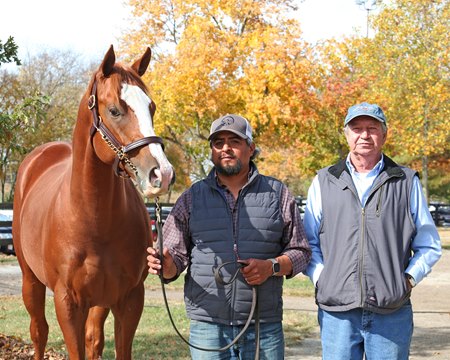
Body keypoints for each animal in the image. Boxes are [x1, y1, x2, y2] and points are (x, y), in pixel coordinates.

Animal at [12, 46, 174, 358]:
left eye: (152, 107)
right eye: (114, 110)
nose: (162, 173)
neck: (93, 218)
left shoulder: (129, 299)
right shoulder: (68, 302)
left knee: (93, 338)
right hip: (31, 281)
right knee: (39, 332)